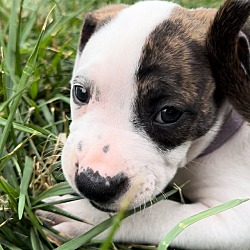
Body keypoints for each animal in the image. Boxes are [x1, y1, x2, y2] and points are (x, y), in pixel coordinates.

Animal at [46, 0, 250, 249]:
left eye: (169, 114)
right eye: (80, 93)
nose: (93, 184)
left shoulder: (234, 220)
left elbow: (155, 213)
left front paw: (78, 215)